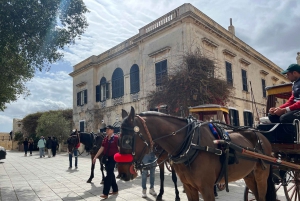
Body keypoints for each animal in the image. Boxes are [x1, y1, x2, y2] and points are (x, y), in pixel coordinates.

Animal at [116, 107, 276, 201]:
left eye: (127, 140)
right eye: (118, 138)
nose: (122, 174)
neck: (191, 143)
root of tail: (261, 135)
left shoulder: (206, 188)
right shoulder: (189, 187)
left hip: (262, 175)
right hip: (249, 175)